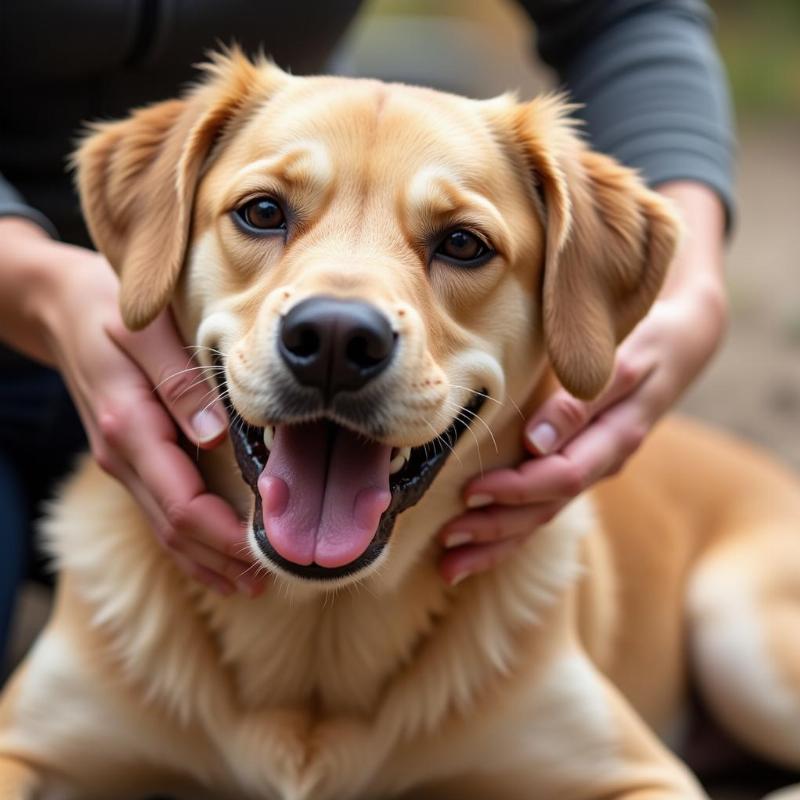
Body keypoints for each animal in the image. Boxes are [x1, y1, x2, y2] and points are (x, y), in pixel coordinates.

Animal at [1, 48, 800, 800]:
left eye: (464, 243)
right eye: (262, 212)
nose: (333, 340)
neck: (317, 628)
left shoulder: (644, 773)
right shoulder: (23, 743)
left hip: (737, 626)